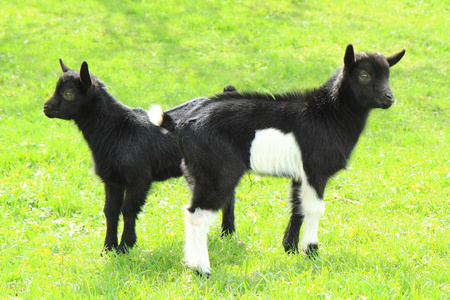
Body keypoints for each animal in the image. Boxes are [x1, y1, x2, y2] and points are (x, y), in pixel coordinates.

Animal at [44, 61, 237, 253]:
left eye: (69, 94)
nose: (46, 108)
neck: (118, 129)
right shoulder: (112, 179)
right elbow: (110, 210)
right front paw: (108, 248)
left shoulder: (139, 178)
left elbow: (128, 210)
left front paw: (125, 246)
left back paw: (227, 232)